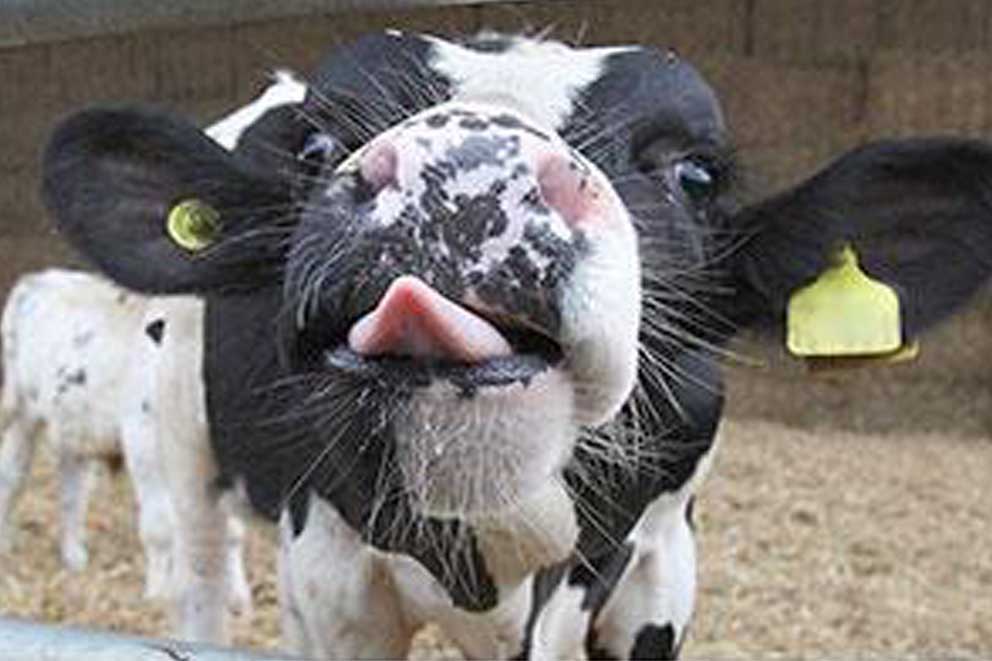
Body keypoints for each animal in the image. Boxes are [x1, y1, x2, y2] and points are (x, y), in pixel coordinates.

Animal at [0, 269, 251, 616]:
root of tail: (41, 277)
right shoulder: (143, 440)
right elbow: (160, 526)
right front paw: (160, 593)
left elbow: (233, 531)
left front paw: (237, 597)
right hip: (22, 410)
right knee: (12, 476)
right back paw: (6, 542)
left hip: (74, 420)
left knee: (72, 490)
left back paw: (73, 555)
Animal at [40, 31, 992, 659]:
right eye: (317, 145)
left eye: (694, 173)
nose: (468, 169)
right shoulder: (332, 574)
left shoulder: (658, 570)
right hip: (181, 445)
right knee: (200, 577)